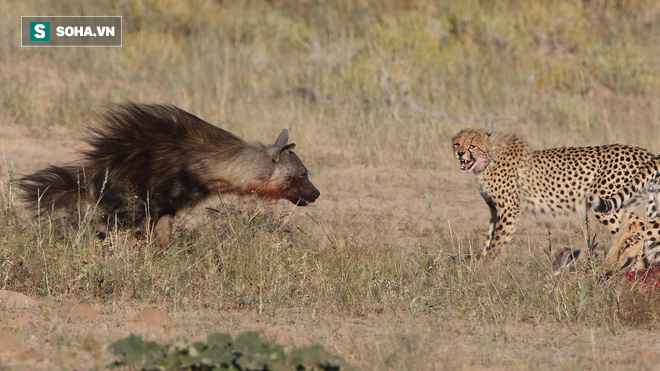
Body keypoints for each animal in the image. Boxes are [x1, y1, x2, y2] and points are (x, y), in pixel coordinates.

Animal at [456, 129, 656, 262]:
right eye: (458, 143)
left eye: (472, 146)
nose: (459, 153)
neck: (489, 159)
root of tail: (645, 153)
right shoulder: (495, 209)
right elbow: (489, 236)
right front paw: (479, 262)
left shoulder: (509, 209)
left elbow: (498, 238)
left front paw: (487, 265)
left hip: (606, 204)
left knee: (634, 227)